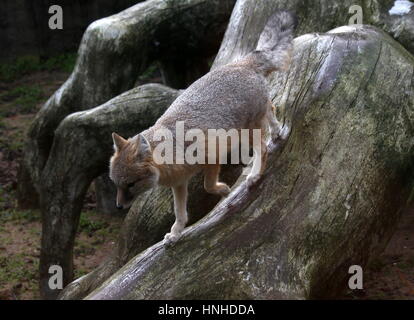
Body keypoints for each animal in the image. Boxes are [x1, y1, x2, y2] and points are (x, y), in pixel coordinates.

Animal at [110, 10, 298, 245]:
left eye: (130, 184)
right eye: (116, 185)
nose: (118, 206)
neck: (173, 151)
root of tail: (242, 63)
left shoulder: (213, 156)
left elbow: (208, 185)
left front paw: (224, 190)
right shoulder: (179, 184)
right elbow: (180, 212)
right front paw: (176, 233)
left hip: (246, 132)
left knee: (262, 148)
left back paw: (255, 174)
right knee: (272, 109)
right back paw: (277, 131)